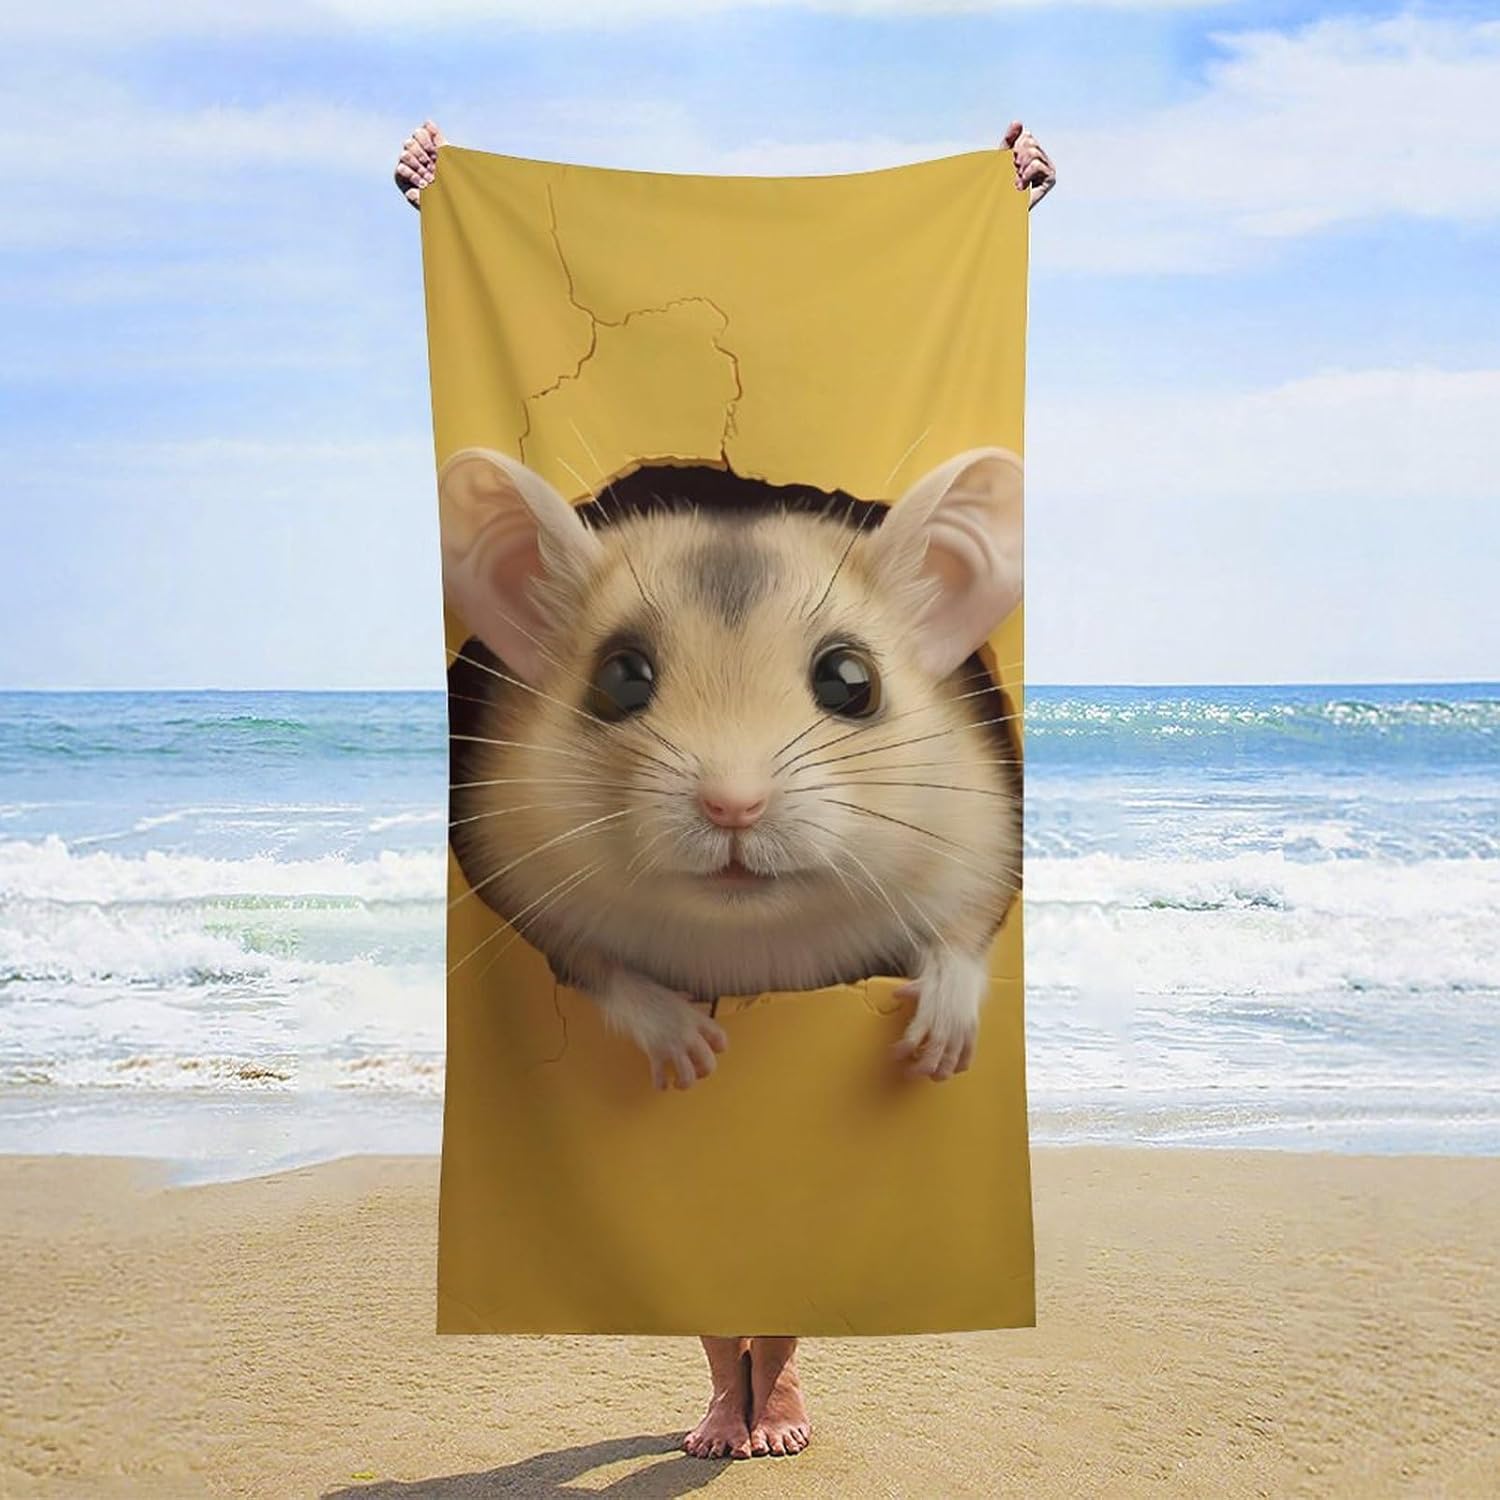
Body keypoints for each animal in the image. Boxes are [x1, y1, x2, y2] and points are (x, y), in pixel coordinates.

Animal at [440, 448, 1023, 1092]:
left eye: (851, 682)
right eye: (619, 680)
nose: (734, 808)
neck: (747, 935)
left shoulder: (981, 855)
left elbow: (963, 940)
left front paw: (938, 1052)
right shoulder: (523, 901)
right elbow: (594, 967)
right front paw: (693, 1054)